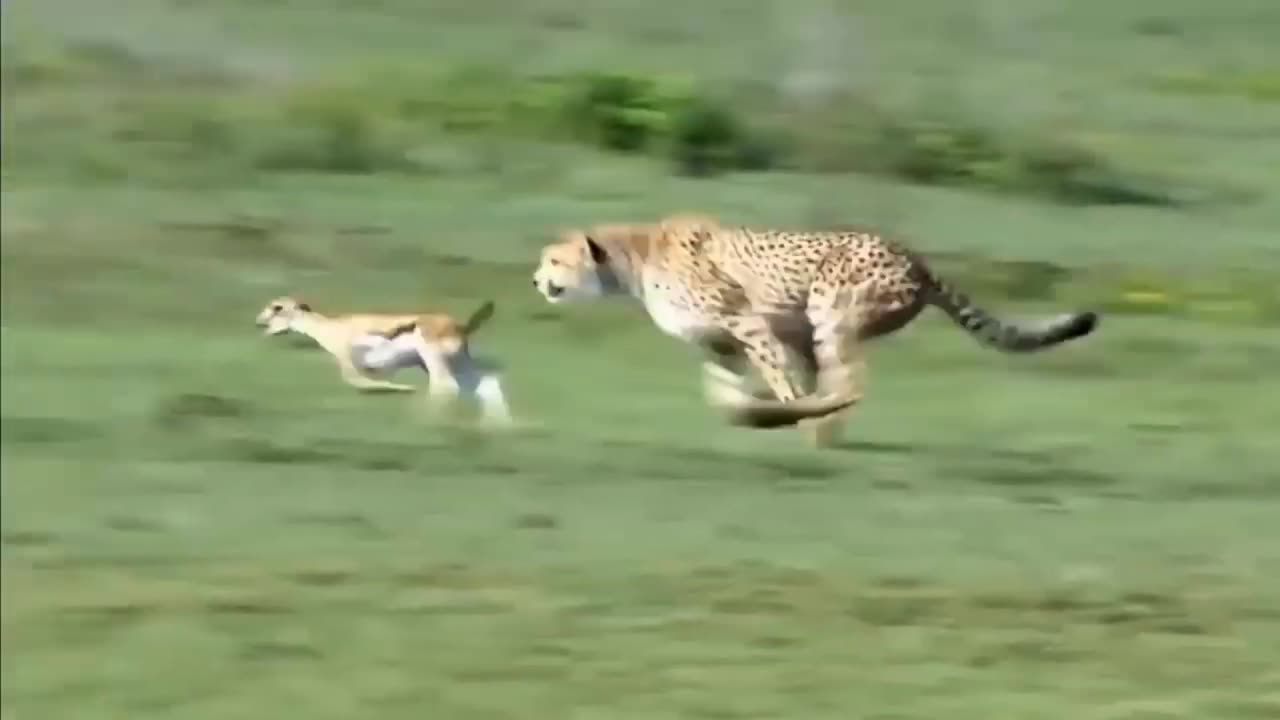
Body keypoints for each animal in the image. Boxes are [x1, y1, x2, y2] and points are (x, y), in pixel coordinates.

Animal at [529, 212, 1100, 445]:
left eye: (555, 260)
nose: (536, 279)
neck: (635, 258)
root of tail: (914, 256)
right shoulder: (723, 344)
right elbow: (726, 389)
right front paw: (746, 412)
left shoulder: (750, 323)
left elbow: (784, 384)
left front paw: (781, 416)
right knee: (838, 384)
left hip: (830, 312)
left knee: (848, 382)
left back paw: (813, 427)